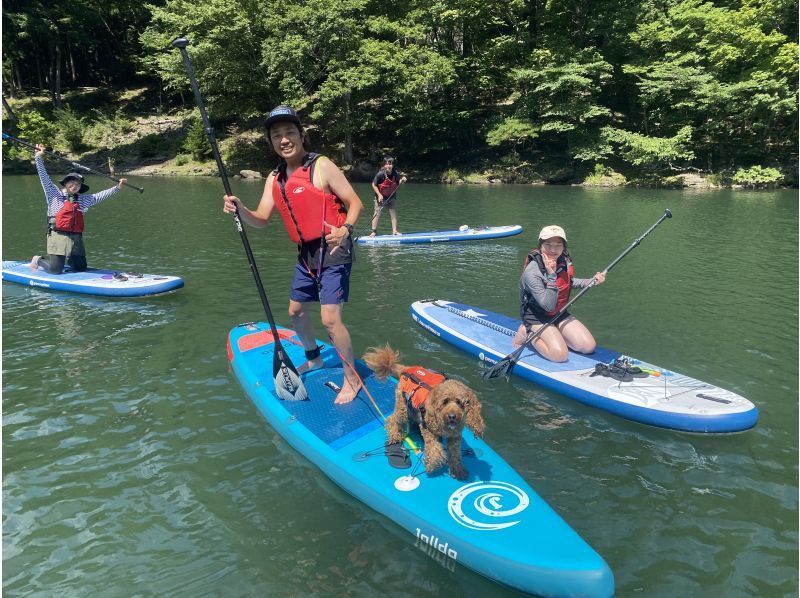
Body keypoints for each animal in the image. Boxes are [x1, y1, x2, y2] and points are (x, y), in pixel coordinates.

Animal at [364, 344, 484, 480]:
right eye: (445, 401)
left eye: (460, 403)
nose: (452, 416)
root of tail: (408, 368)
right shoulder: (429, 430)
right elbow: (436, 451)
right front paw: (430, 466)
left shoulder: (455, 437)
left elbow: (455, 454)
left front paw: (458, 470)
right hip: (402, 407)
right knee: (392, 420)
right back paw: (394, 435)